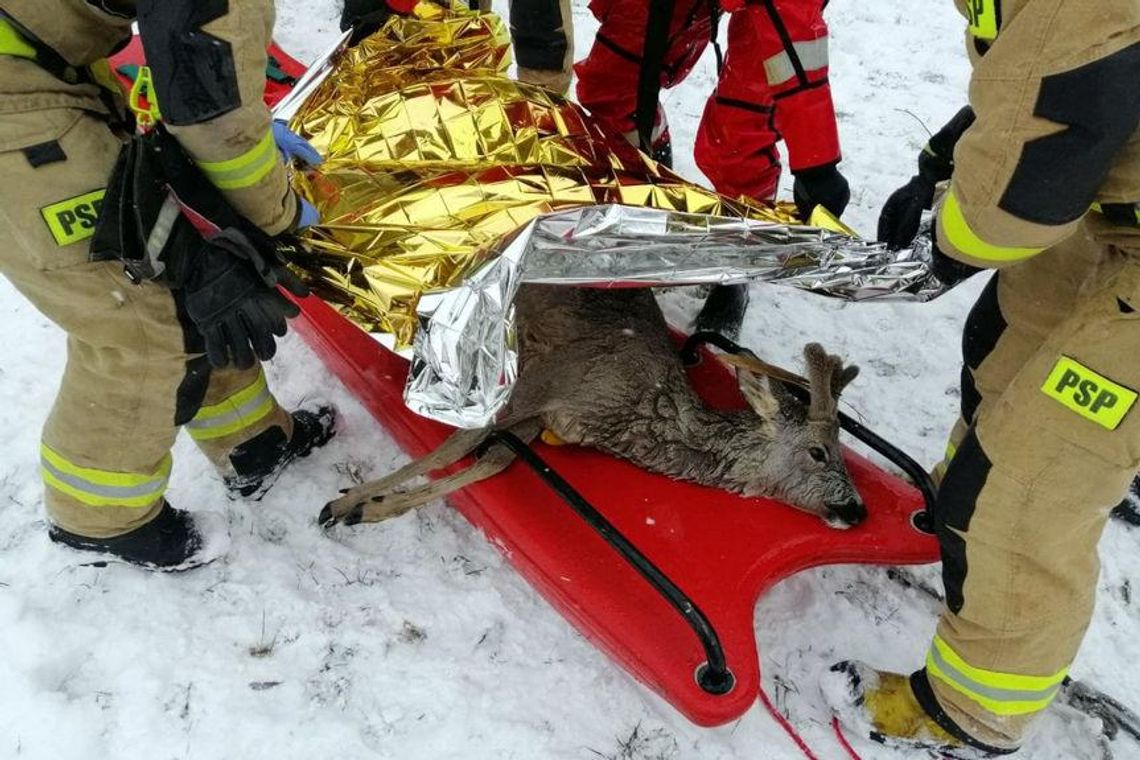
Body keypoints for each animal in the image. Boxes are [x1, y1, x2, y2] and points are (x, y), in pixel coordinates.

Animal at [321, 283, 861, 528]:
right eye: (819, 451)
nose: (857, 509)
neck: (634, 415)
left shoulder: (545, 416)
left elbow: (494, 461)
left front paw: (372, 507)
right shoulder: (541, 380)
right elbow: (452, 448)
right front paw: (346, 502)